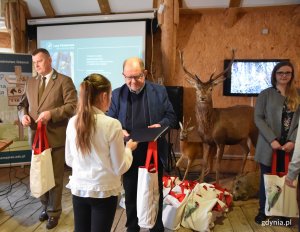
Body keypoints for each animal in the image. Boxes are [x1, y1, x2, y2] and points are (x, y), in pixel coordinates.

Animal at [179, 49, 258, 184]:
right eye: (197, 88)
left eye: (211, 89)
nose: (202, 97)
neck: (209, 126)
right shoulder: (206, 142)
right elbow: (204, 163)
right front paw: (200, 182)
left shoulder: (221, 140)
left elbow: (217, 164)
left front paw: (217, 184)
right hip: (241, 138)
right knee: (247, 150)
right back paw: (239, 174)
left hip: (255, 132)